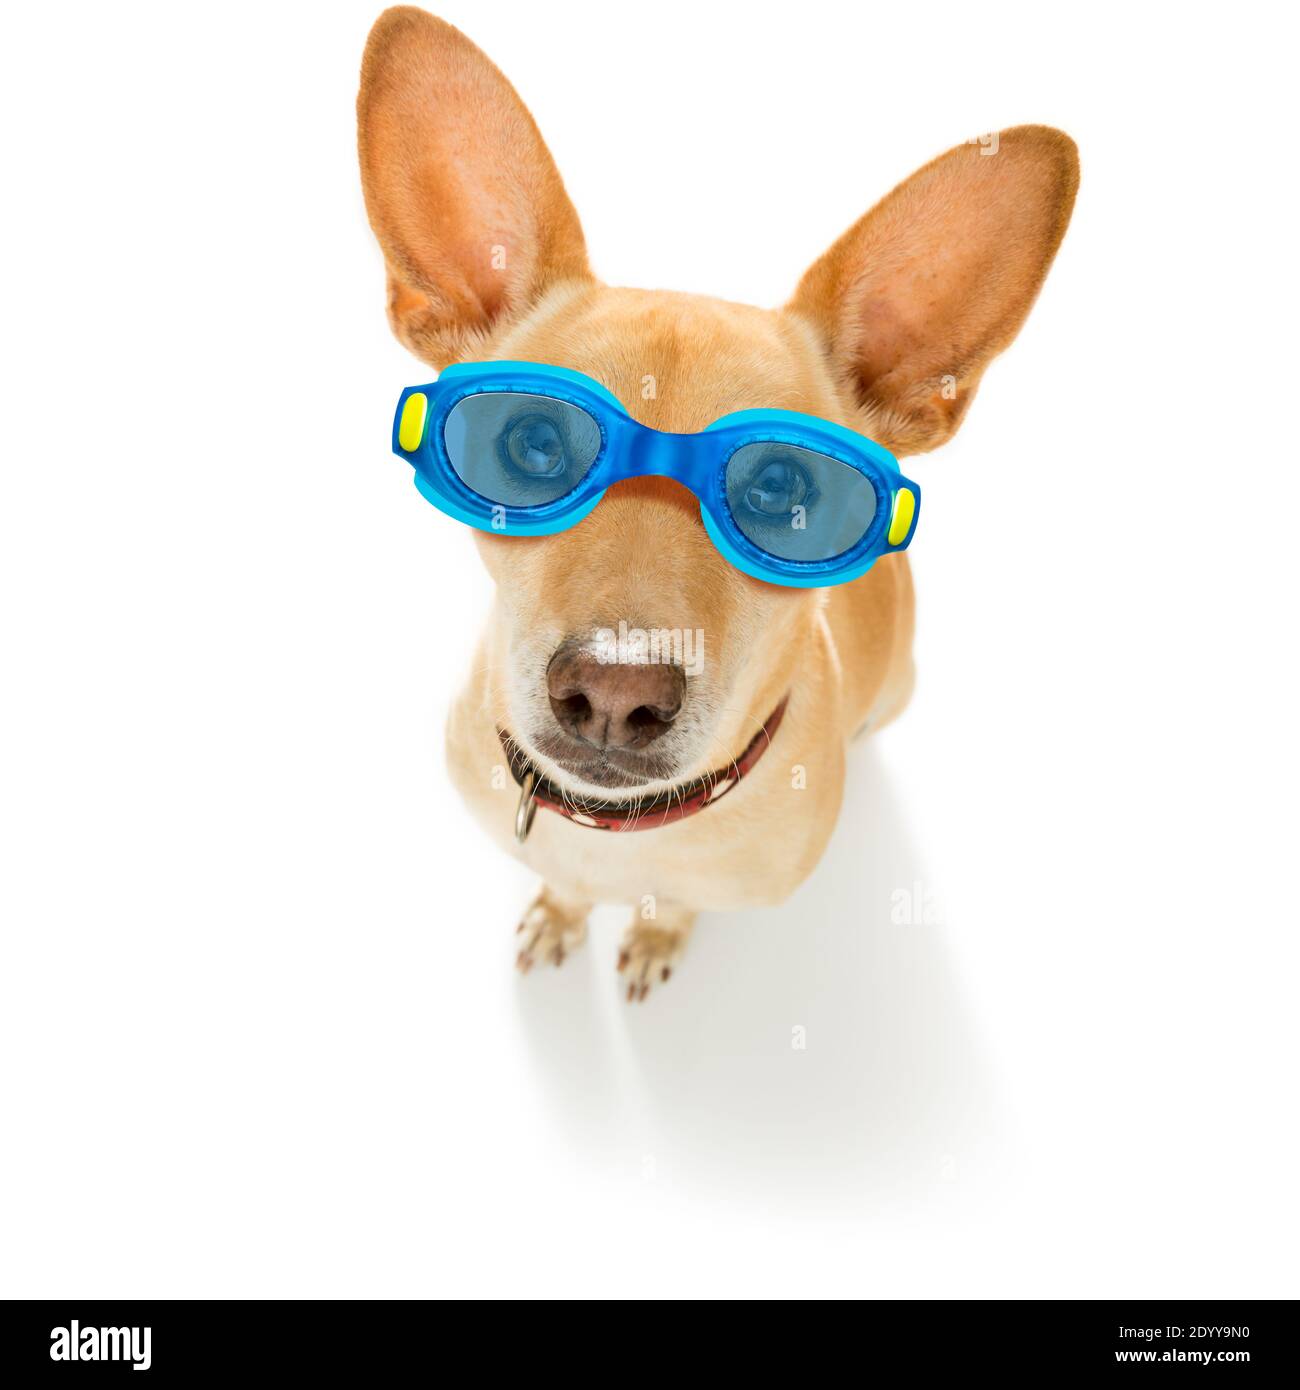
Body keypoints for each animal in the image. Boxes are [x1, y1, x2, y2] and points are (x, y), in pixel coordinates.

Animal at [355, 2, 1078, 1000]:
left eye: (781, 488)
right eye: (533, 444)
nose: (613, 692)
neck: (618, 831)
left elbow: (677, 903)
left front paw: (656, 932)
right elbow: (564, 885)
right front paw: (561, 912)